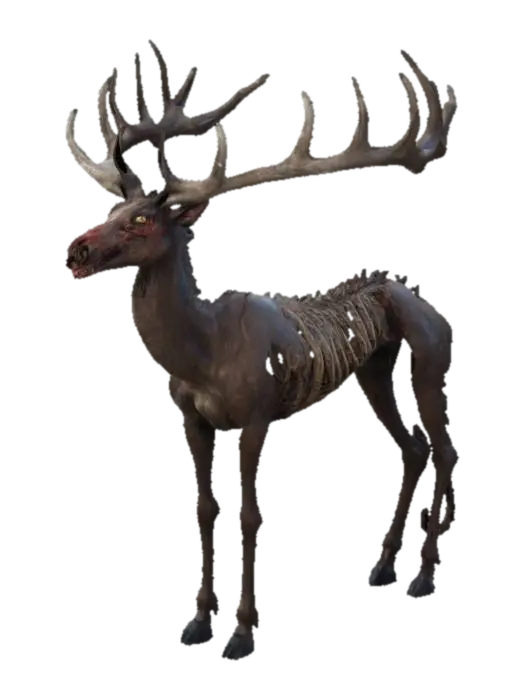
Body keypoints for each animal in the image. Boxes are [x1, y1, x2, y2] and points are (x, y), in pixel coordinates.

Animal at [64, 51, 459, 662]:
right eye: (113, 206)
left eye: (141, 219)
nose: (77, 248)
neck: (201, 352)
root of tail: (429, 302)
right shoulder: (192, 421)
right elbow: (204, 512)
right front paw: (197, 623)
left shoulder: (253, 419)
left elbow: (249, 517)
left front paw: (242, 635)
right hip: (376, 375)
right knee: (412, 450)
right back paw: (382, 570)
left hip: (431, 368)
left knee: (444, 453)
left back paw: (423, 576)